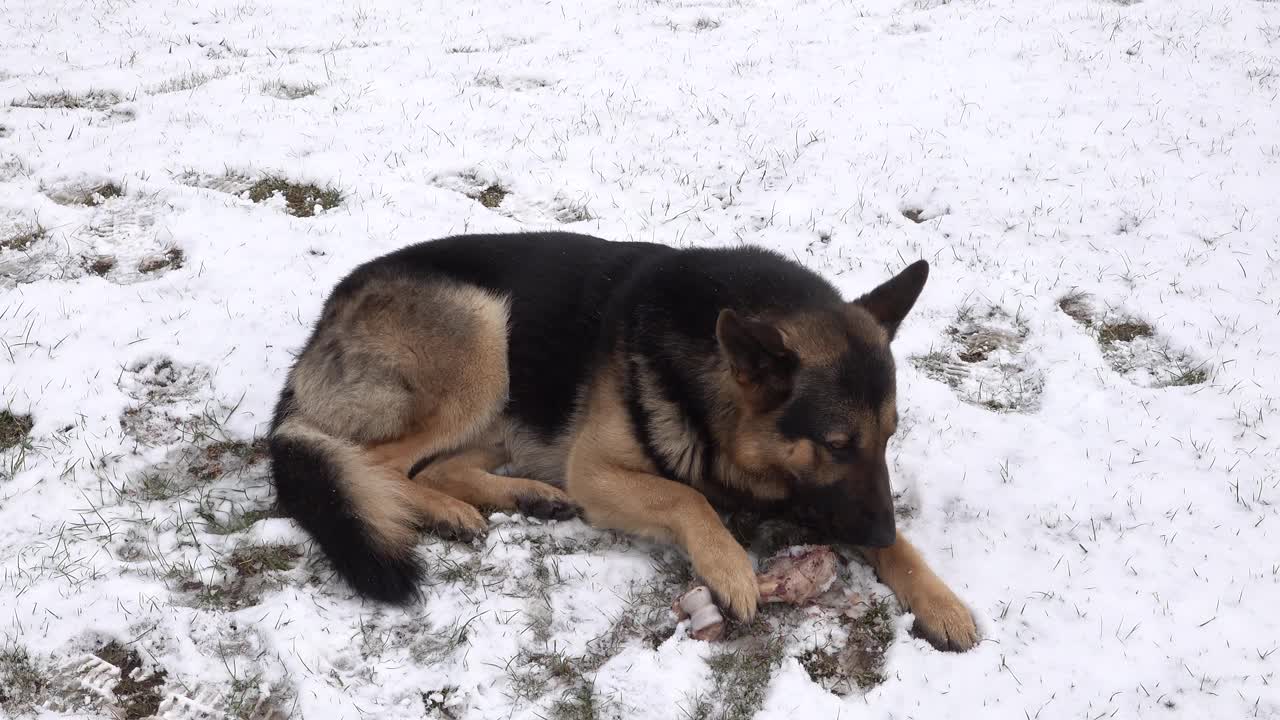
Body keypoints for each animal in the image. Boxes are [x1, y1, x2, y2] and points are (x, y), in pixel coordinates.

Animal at [264, 233, 972, 648]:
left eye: (886, 438)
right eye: (837, 443)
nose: (877, 530)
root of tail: (320, 332)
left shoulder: (825, 499)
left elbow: (898, 547)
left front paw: (940, 600)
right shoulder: (597, 471)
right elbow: (689, 499)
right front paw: (730, 567)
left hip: (510, 402)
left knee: (435, 466)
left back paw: (522, 496)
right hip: (484, 330)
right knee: (379, 464)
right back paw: (448, 512)